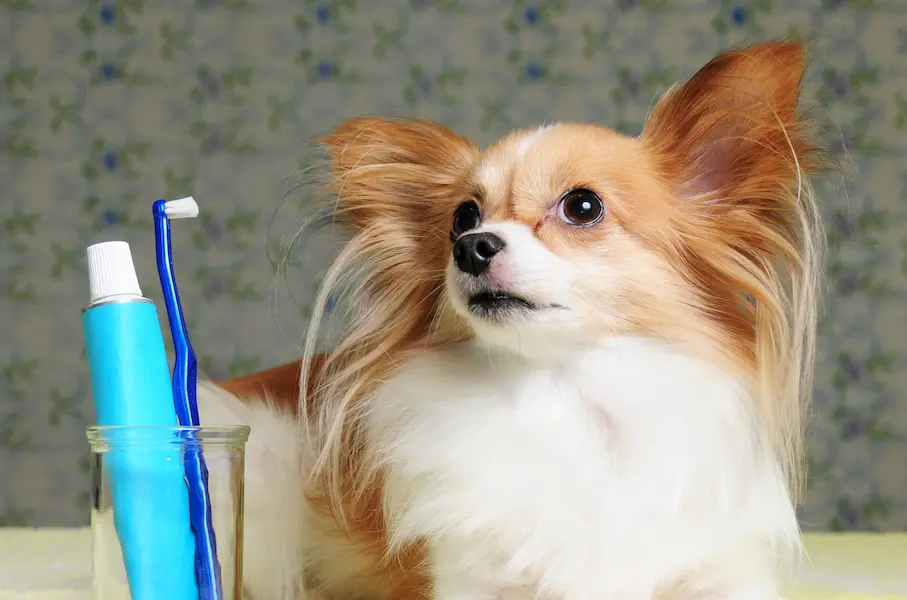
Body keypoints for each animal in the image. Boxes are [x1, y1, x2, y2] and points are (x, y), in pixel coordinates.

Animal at [202, 42, 828, 600]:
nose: (471, 246)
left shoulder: (723, 575)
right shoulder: (473, 580)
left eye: (582, 206)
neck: (569, 395)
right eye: (462, 217)